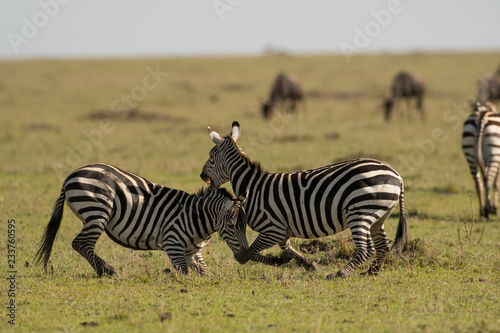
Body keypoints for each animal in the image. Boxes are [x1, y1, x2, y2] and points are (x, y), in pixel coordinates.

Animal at [34, 163, 249, 274]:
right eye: (231, 225)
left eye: (245, 226)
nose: (246, 257)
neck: (196, 218)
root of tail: (70, 176)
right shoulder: (172, 244)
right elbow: (184, 274)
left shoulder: (192, 252)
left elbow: (205, 273)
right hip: (97, 211)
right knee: (81, 243)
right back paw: (106, 270)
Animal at [198, 121, 406, 278]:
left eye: (211, 156)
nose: (201, 176)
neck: (252, 185)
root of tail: (396, 174)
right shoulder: (283, 230)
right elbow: (289, 248)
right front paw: (308, 265)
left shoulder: (273, 228)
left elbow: (252, 252)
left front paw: (277, 261)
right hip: (378, 215)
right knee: (383, 245)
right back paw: (372, 271)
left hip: (359, 212)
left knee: (366, 248)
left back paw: (340, 274)